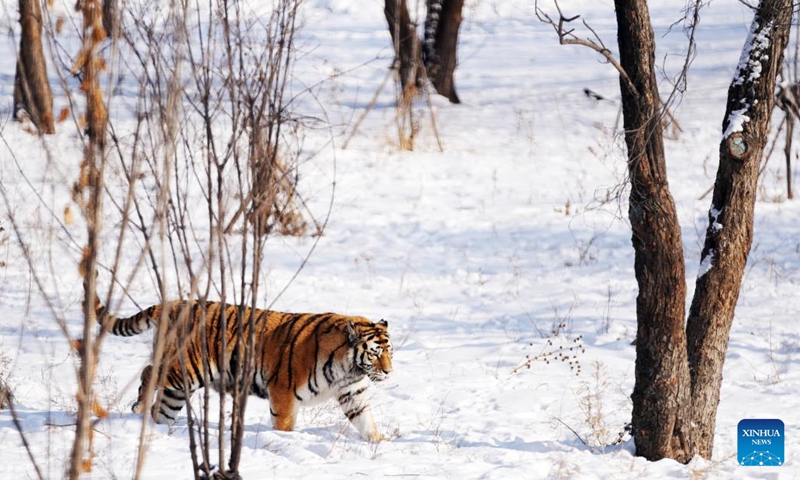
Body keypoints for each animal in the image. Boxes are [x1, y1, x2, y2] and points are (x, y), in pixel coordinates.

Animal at [99, 300, 393, 441]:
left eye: (390, 352)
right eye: (375, 353)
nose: (389, 372)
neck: (349, 368)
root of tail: (172, 303)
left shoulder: (353, 393)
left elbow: (365, 420)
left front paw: (379, 441)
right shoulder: (283, 392)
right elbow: (284, 425)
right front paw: (285, 440)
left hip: (180, 387)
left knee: (162, 409)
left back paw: (159, 429)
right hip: (186, 370)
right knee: (149, 371)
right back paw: (139, 406)